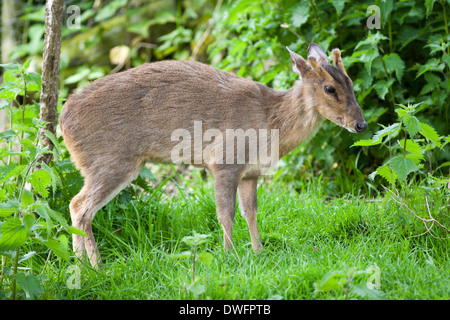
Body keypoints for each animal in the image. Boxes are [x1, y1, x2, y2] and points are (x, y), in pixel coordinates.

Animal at [59, 42, 366, 268]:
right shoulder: (224, 159)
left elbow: (251, 211)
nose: (360, 124)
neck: (270, 122)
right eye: (329, 88)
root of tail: (62, 121)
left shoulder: (251, 172)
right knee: (79, 206)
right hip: (110, 160)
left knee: (76, 206)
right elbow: (225, 213)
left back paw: (80, 265)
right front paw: (231, 256)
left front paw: (259, 252)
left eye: (351, 82)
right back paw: (97, 267)